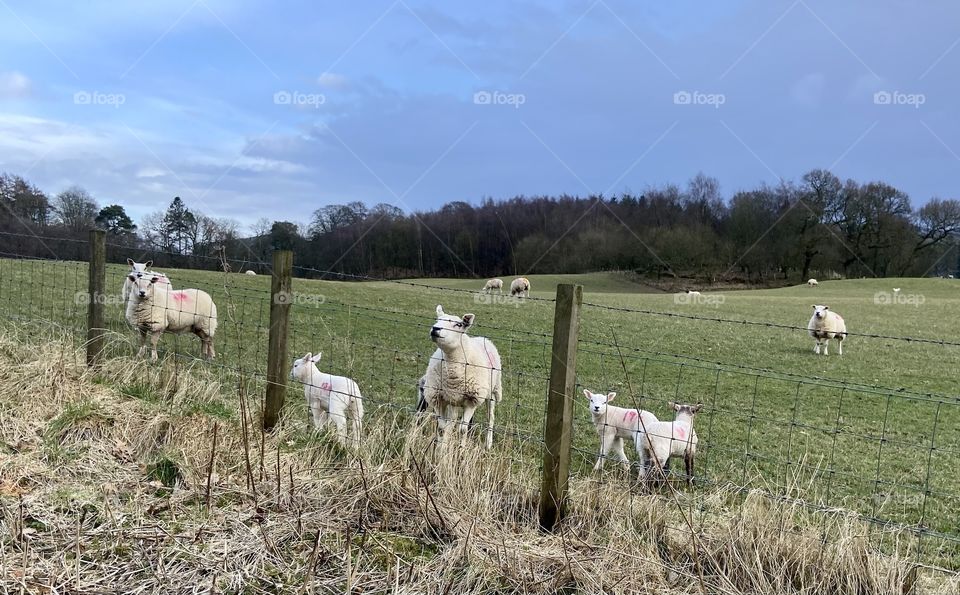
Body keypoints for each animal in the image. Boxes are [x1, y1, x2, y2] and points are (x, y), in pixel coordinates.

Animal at [421, 305, 502, 448]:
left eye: (459, 324)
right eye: (438, 320)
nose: (435, 329)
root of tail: (483, 338)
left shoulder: (473, 399)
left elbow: (462, 429)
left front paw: (461, 448)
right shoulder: (438, 398)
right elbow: (442, 428)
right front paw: (441, 449)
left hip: (492, 392)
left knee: (490, 418)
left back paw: (488, 444)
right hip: (454, 400)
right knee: (452, 422)